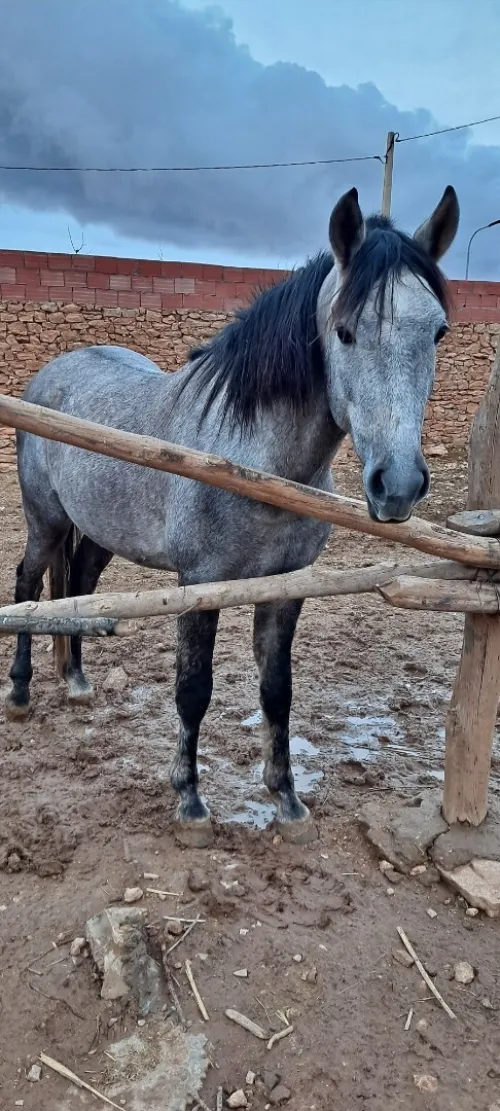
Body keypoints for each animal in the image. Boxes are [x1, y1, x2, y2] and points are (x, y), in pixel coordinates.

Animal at [5, 185, 459, 847]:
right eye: (344, 332)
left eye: (438, 332)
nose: (396, 486)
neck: (253, 461)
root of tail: (55, 371)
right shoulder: (200, 584)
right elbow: (193, 691)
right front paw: (191, 802)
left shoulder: (285, 588)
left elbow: (277, 692)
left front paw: (287, 800)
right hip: (45, 522)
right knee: (29, 585)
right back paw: (19, 691)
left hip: (100, 530)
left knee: (80, 583)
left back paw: (77, 680)